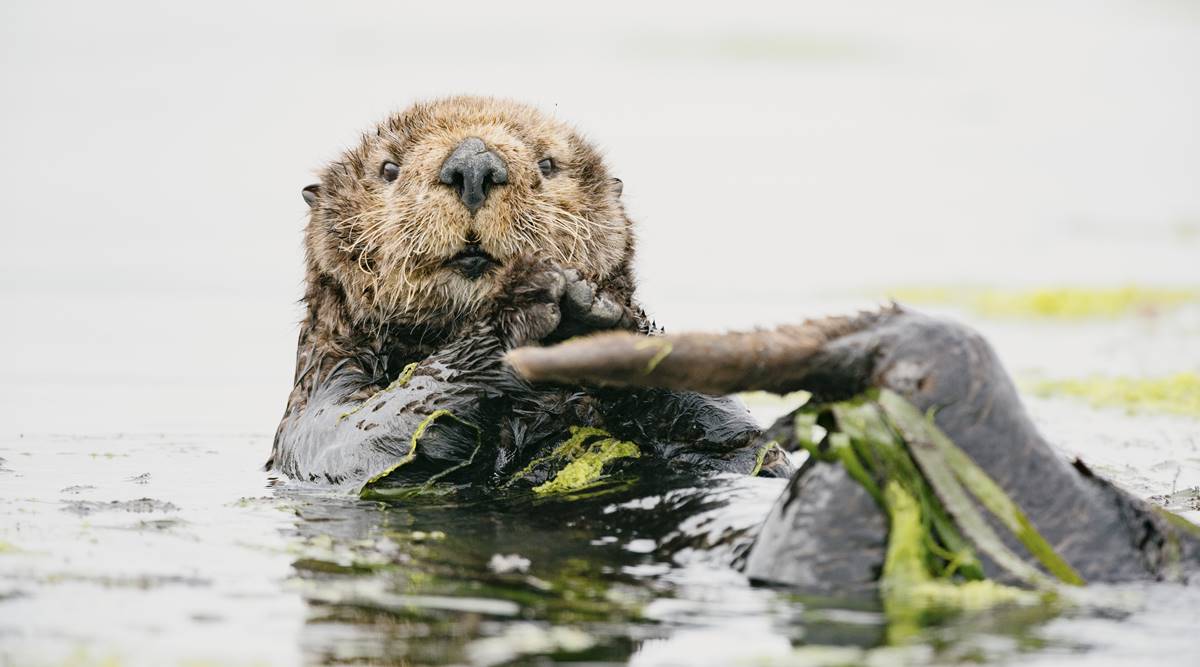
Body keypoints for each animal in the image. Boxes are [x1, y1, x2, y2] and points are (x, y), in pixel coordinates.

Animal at [270, 96, 791, 489]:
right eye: (389, 168)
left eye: (548, 163)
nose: (473, 165)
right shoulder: (324, 385)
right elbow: (344, 438)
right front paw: (522, 319)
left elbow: (753, 450)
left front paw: (602, 319)